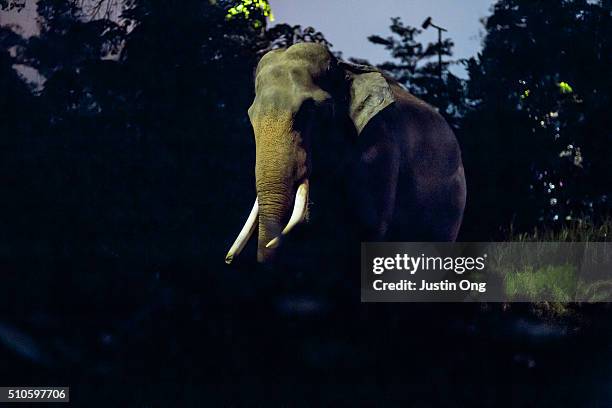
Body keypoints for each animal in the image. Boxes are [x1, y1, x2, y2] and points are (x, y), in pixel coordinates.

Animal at [227, 42, 466, 264]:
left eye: (310, 110)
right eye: (250, 115)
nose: (228, 260)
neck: (345, 70)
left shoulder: (379, 147)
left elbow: (368, 230)